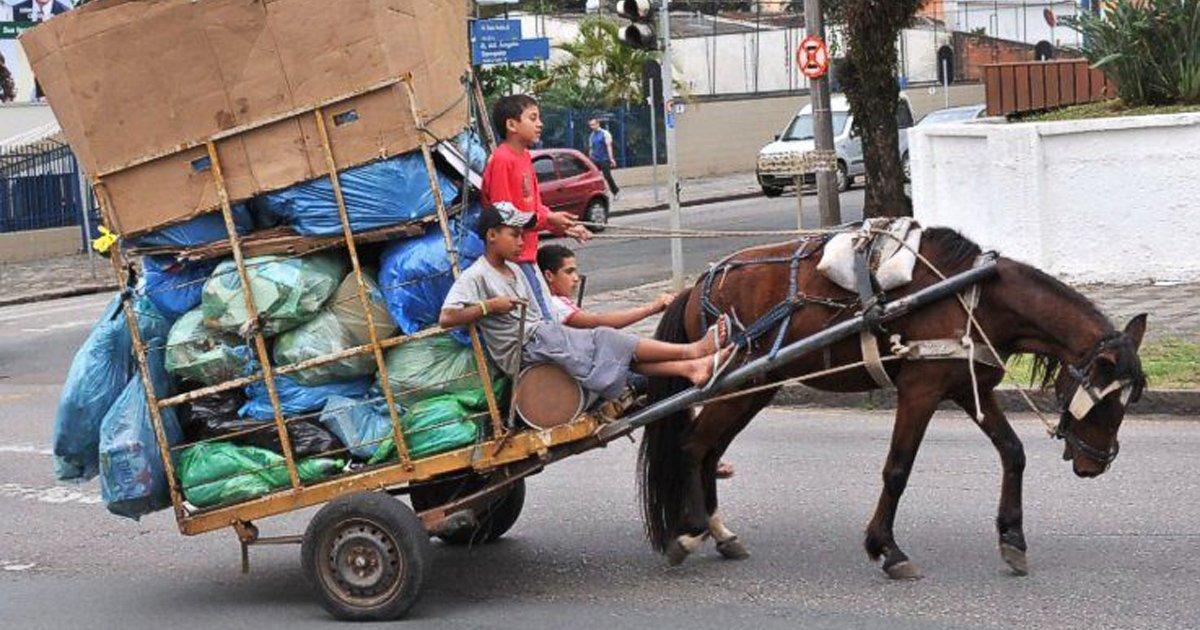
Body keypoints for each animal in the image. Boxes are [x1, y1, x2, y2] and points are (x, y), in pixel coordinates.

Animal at [643, 228, 1147, 578]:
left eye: (1130, 399)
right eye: (1106, 402)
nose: (1095, 464)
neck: (974, 296)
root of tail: (696, 287)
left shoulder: (969, 389)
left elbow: (1013, 453)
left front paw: (1013, 539)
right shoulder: (920, 391)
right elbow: (897, 469)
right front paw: (887, 549)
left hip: (755, 388)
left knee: (710, 452)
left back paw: (719, 533)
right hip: (737, 384)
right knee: (693, 447)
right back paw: (690, 531)